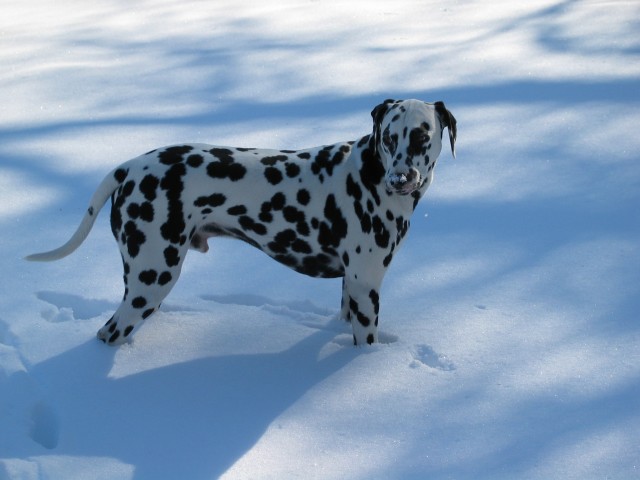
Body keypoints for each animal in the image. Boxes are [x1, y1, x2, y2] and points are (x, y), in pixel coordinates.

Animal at [25, 99, 456, 344]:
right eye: (389, 137)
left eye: (422, 136)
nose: (400, 180)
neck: (370, 172)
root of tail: (129, 166)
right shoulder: (367, 286)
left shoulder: (352, 284)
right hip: (153, 278)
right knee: (109, 331)